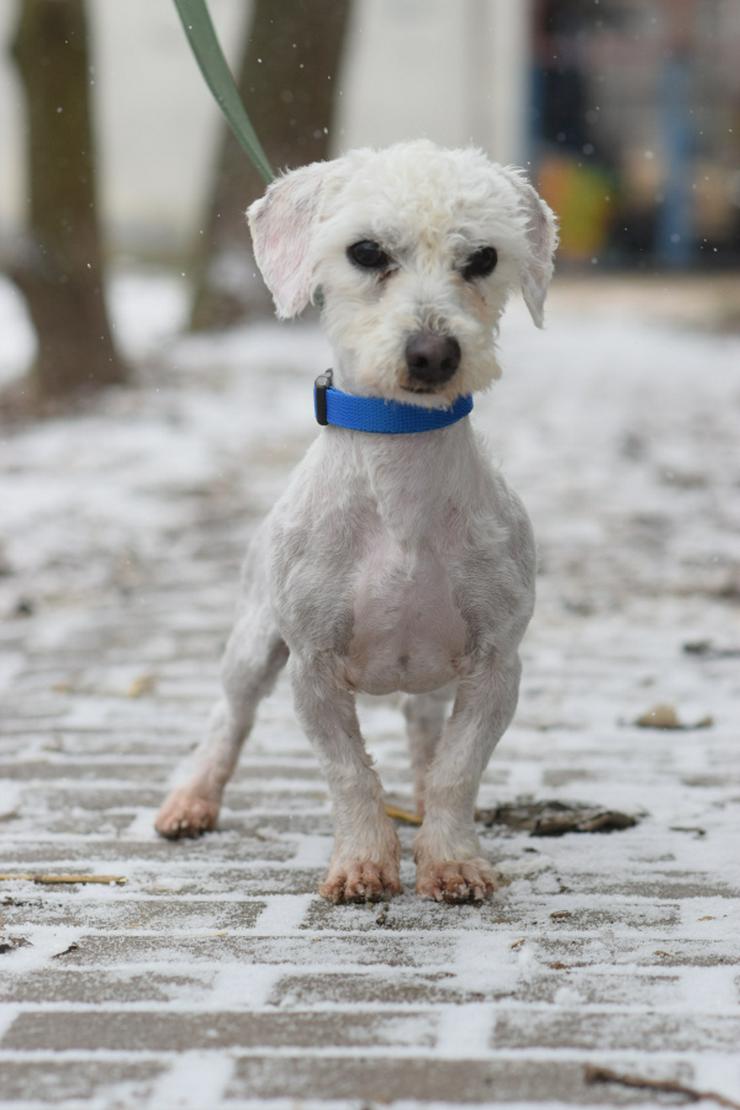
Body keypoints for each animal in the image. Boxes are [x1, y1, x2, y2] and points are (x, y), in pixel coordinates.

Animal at [155, 140, 554, 901]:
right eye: (365, 251)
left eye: (483, 257)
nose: (433, 353)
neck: (400, 466)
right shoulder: (312, 665)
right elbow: (348, 772)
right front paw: (365, 861)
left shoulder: (497, 662)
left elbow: (459, 767)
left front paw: (451, 858)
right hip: (254, 639)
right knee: (229, 716)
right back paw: (192, 799)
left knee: (427, 738)